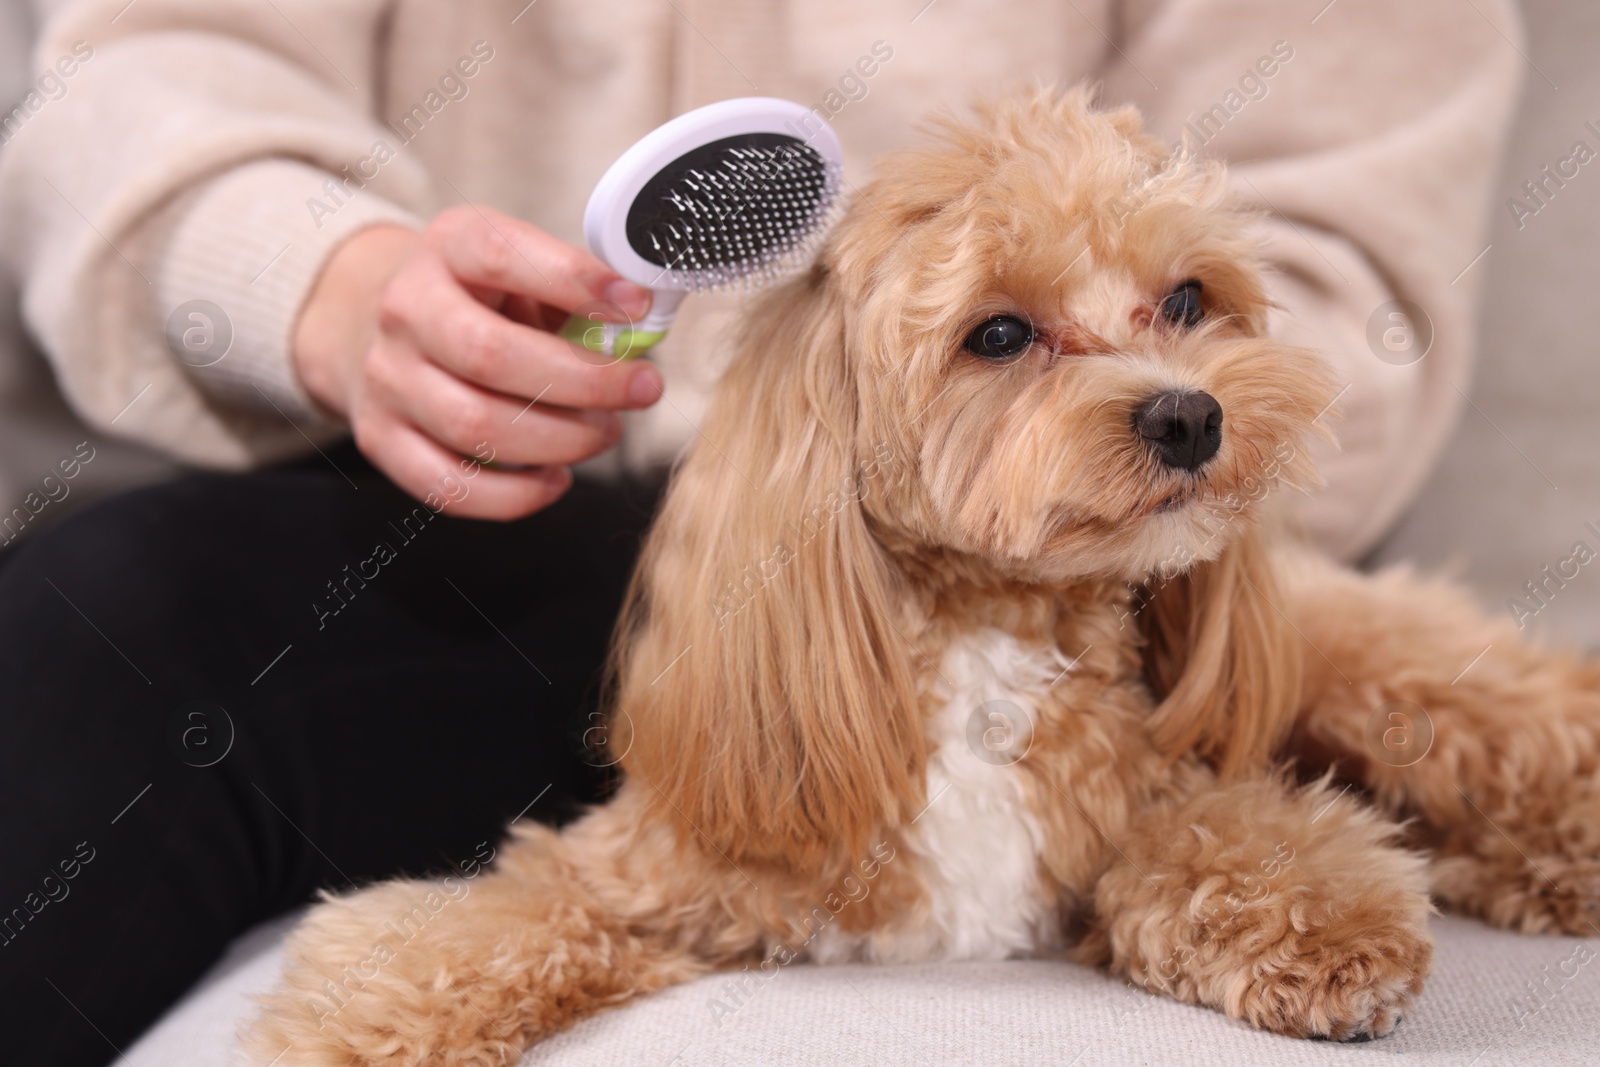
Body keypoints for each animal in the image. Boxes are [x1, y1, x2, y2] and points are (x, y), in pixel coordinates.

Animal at [243, 87, 1600, 1062]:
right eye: (995, 333)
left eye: (1183, 299)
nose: (1189, 415)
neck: (989, 633)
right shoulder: (655, 871)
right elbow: (497, 922)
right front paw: (356, 1024)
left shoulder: (1168, 789)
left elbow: (1235, 833)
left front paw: (1327, 932)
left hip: (1387, 680)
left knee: (1528, 729)